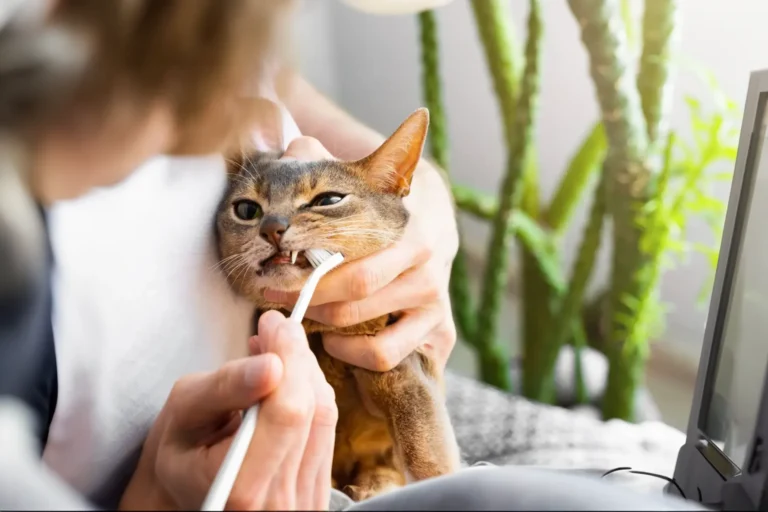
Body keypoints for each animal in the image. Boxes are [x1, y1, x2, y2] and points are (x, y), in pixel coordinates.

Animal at [213, 108, 460, 500]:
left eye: (327, 200)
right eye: (247, 209)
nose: (272, 227)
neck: (321, 332)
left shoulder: (405, 371)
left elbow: (426, 449)